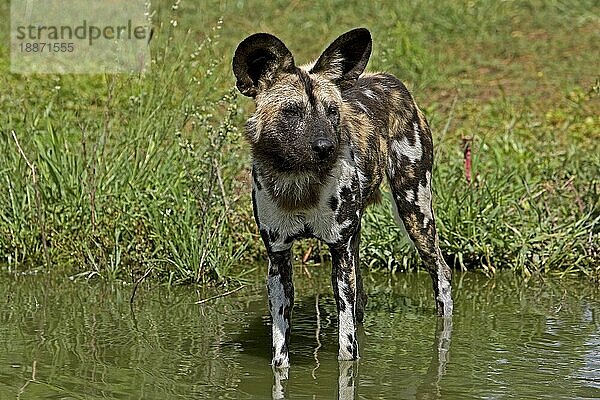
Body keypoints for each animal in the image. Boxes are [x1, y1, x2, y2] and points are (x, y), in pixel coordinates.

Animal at [232, 26, 452, 368]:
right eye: (291, 112)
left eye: (332, 111)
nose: (326, 147)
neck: (300, 185)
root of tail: (388, 78)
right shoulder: (278, 258)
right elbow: (280, 354)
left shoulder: (339, 251)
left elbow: (347, 351)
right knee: (361, 298)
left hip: (415, 211)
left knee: (441, 273)